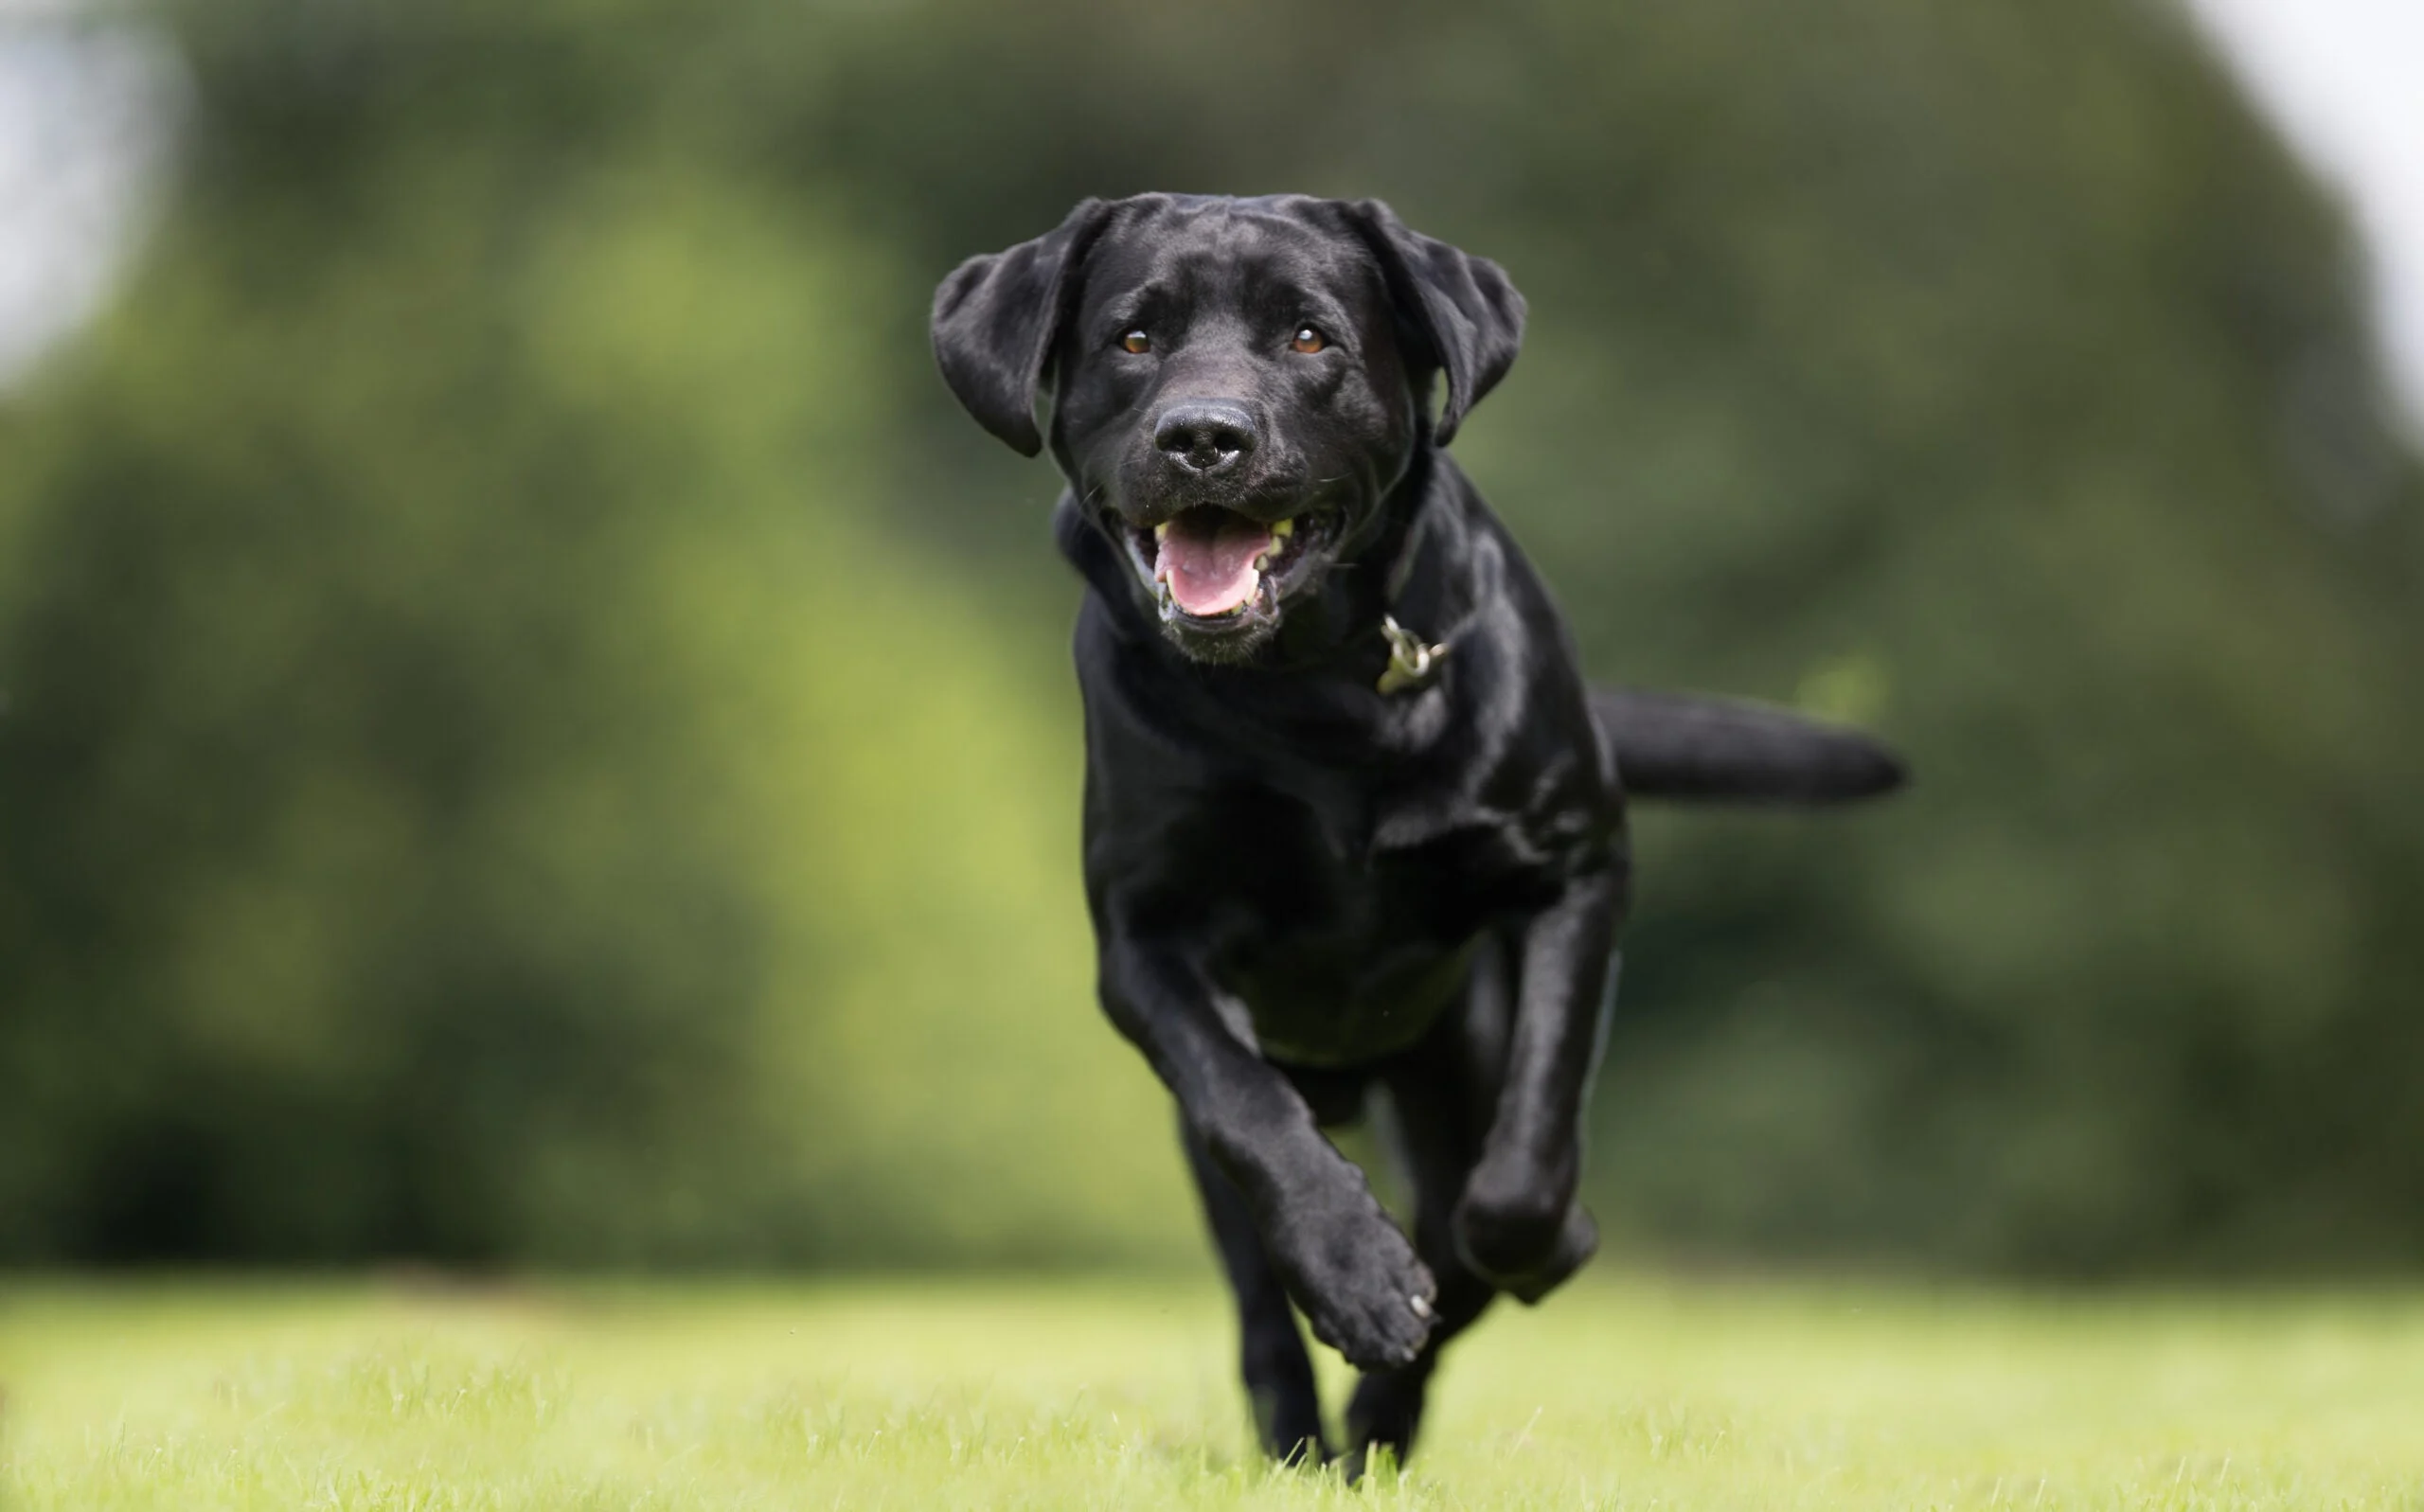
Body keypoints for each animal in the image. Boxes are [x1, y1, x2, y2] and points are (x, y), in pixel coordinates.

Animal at [936, 195, 1900, 1473]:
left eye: (1309, 336)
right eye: (1132, 339)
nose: (1204, 437)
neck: (1315, 692)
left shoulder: (1574, 868)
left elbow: (1527, 1155)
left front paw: (1519, 1246)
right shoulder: (1144, 944)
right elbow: (1249, 1109)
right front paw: (1356, 1271)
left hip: (1453, 1054)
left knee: (1464, 1215)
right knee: (1262, 1305)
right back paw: (1315, 1430)